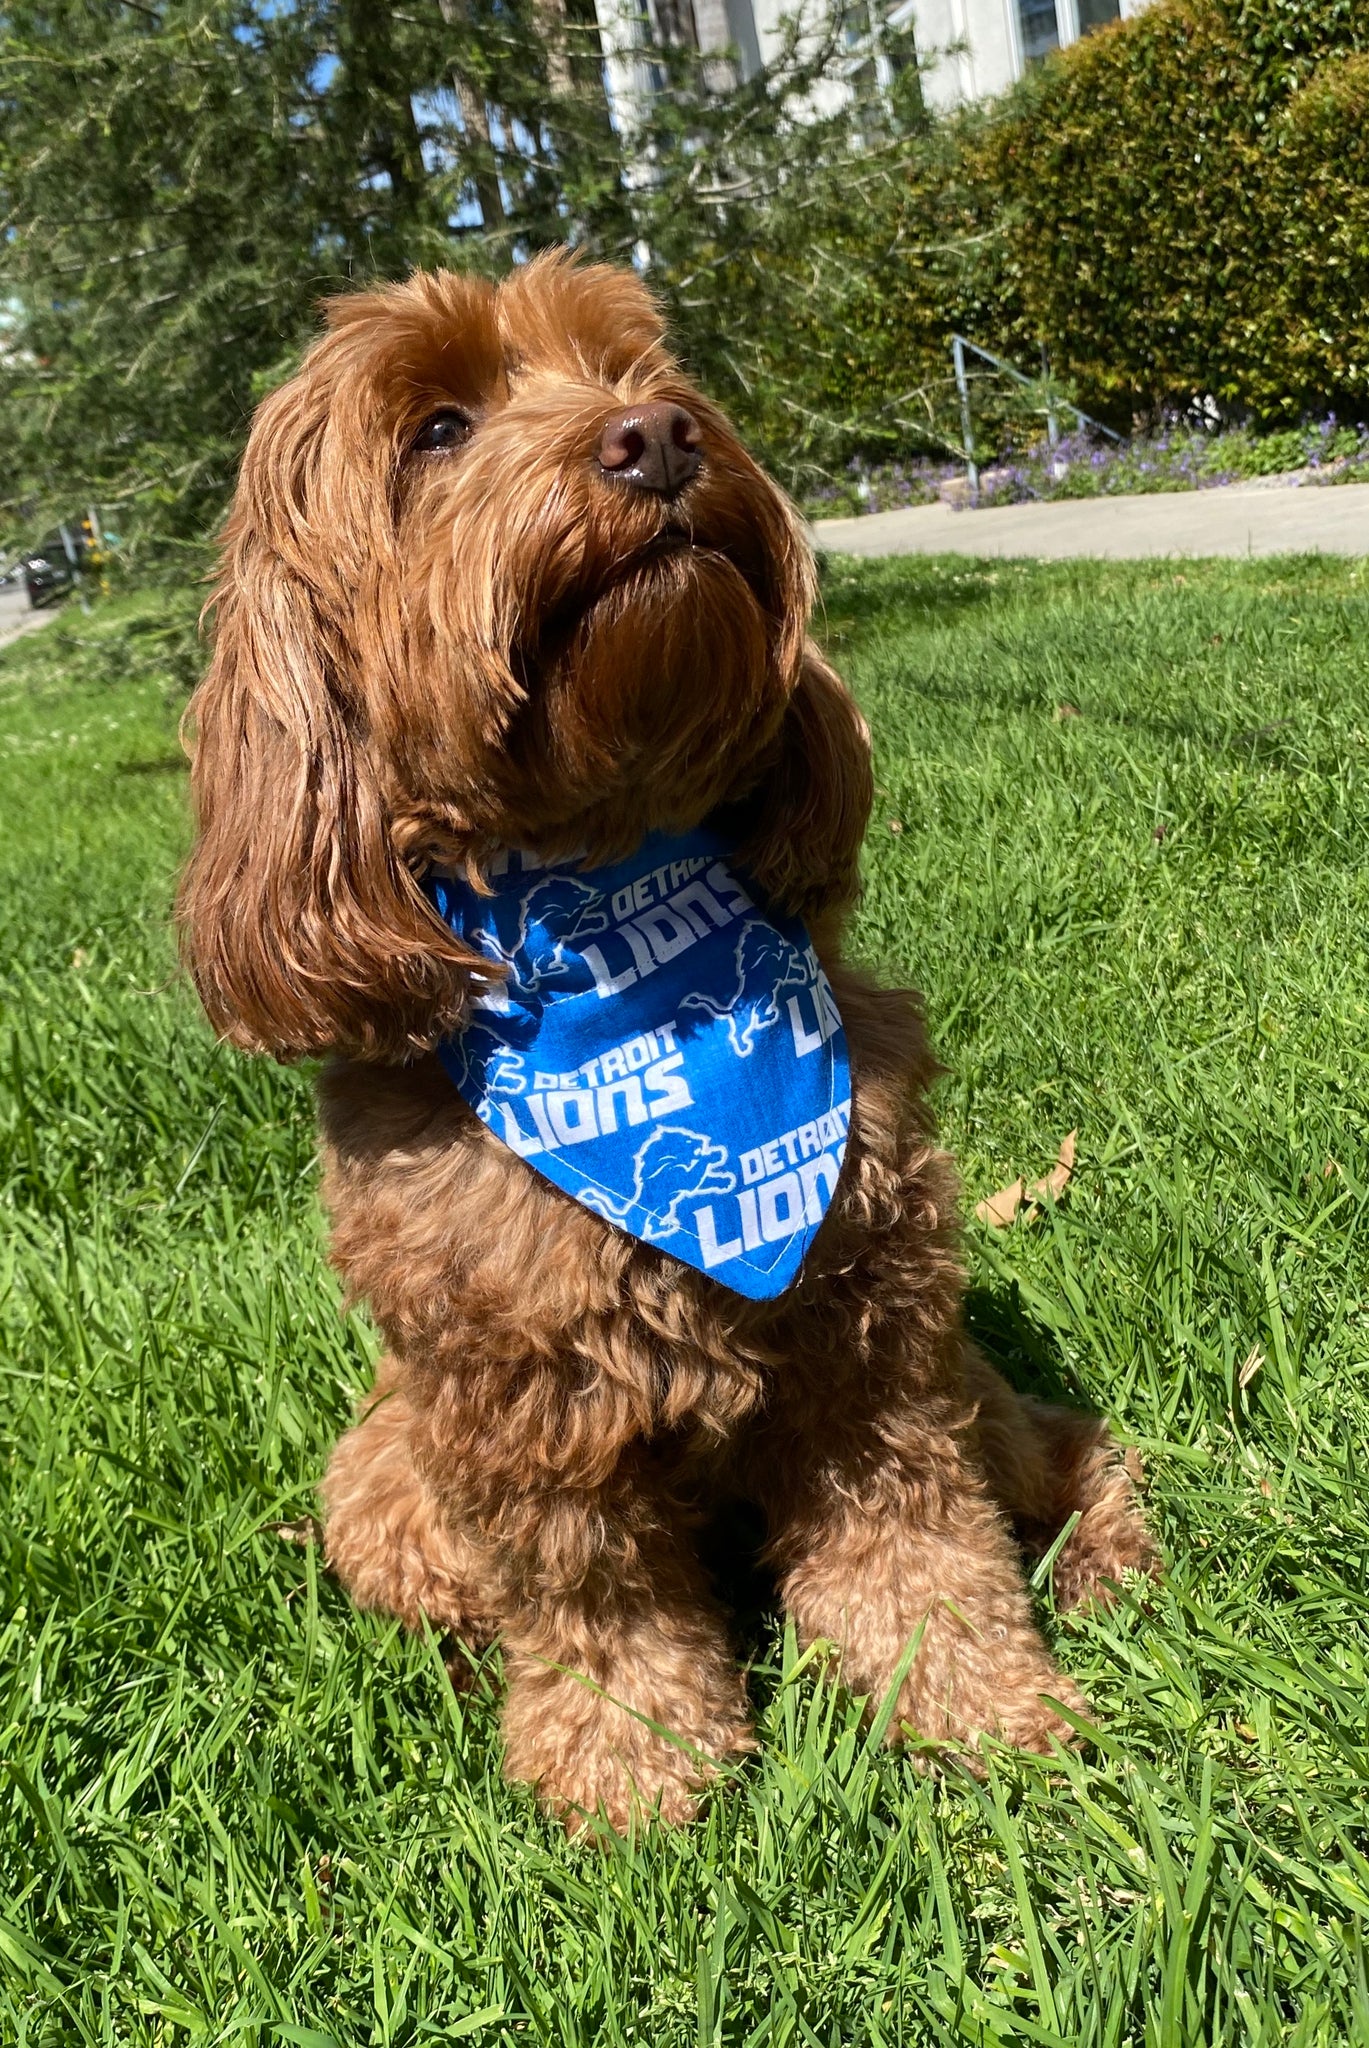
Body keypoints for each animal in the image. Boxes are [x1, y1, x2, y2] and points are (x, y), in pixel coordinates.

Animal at [176, 247, 1147, 1835]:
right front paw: (634, 1778)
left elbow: (919, 1547)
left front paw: (976, 1709)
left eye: (634, 370)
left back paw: (1110, 1550)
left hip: (959, 1369)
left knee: (1051, 1441)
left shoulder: (872, 1335)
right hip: (379, 1485)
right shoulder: (520, 1407)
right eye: (436, 428)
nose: (657, 437)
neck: (620, 949)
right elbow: (597, 1605)